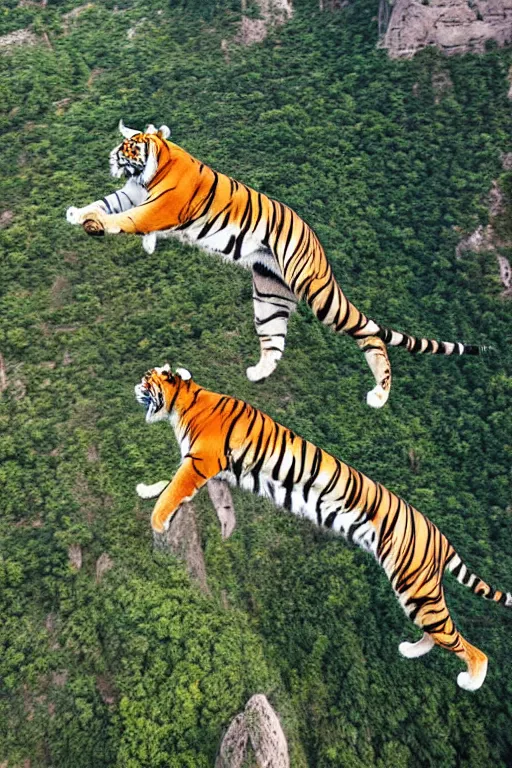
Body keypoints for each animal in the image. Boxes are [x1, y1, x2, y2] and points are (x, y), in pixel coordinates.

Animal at [68, 119, 488, 408]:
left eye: (127, 148)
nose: (111, 158)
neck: (156, 166)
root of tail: (318, 242)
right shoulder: (131, 193)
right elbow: (107, 202)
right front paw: (77, 212)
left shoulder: (155, 208)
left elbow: (124, 219)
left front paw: (96, 223)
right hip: (270, 295)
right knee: (274, 343)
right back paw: (256, 374)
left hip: (319, 293)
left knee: (370, 335)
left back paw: (379, 395)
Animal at [134, 364, 510, 692]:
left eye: (147, 379)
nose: (134, 387)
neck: (185, 403)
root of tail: (441, 537)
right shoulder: (212, 472)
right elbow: (193, 494)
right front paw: (209, 520)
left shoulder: (200, 463)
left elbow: (173, 489)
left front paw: (157, 517)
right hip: (418, 596)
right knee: (437, 632)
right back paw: (410, 650)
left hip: (416, 586)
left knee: (467, 646)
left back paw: (471, 680)